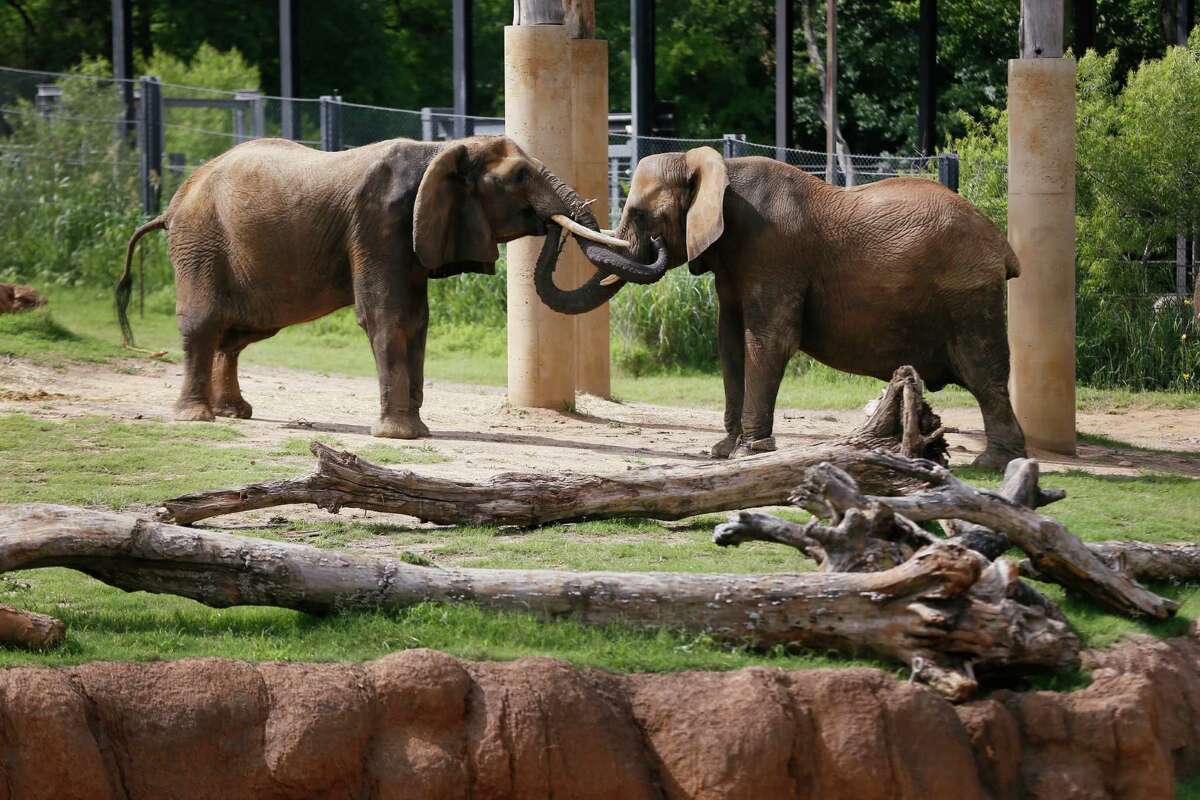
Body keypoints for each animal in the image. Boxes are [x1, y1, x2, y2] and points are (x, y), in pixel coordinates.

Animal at [118, 135, 652, 441]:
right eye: (520, 176)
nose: (551, 226)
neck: (441, 151)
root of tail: (174, 202)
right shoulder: (380, 223)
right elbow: (387, 317)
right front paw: (399, 436)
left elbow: (417, 321)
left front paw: (417, 430)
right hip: (200, 243)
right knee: (205, 324)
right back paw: (196, 419)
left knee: (240, 332)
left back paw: (235, 414)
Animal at [540, 146, 1027, 470]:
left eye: (641, 215)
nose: (552, 225)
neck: (720, 169)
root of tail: (1003, 247)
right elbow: (729, 342)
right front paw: (723, 452)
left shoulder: (772, 249)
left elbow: (768, 341)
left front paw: (750, 452)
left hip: (968, 294)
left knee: (983, 371)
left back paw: (991, 464)